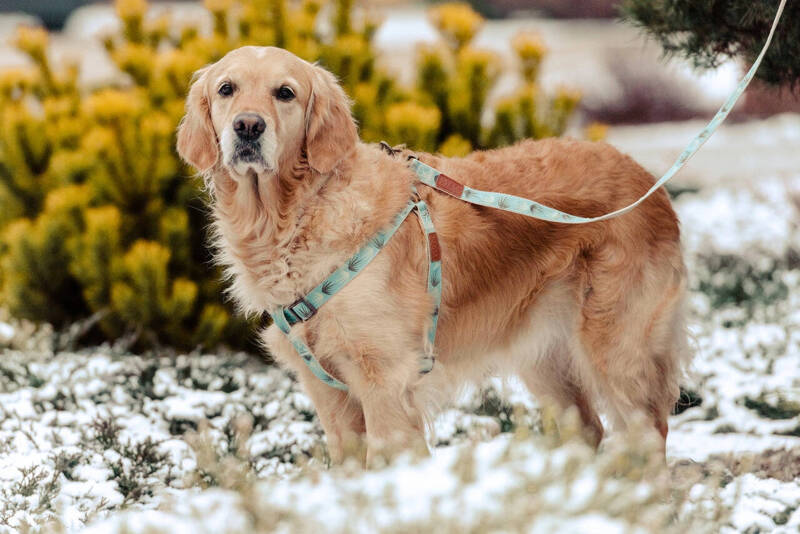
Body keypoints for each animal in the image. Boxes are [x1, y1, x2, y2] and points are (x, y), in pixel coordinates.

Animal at [178, 45, 692, 464]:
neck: (300, 212)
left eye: (284, 93)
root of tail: (649, 179)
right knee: (590, 428)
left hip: (616, 344)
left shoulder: (384, 381)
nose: (248, 126)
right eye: (226, 89)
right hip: (545, 352)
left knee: (647, 436)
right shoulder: (328, 392)